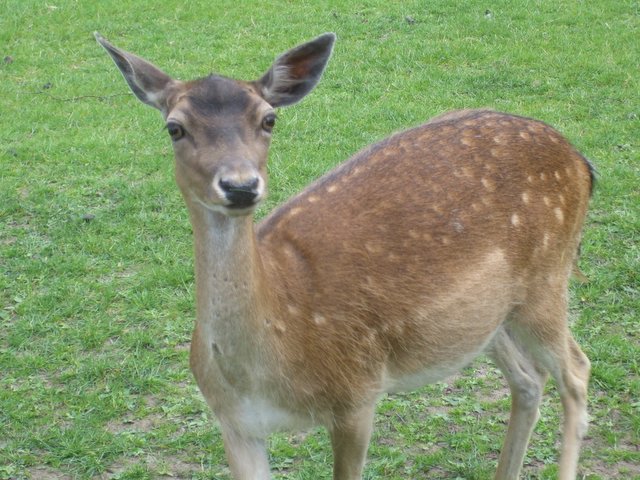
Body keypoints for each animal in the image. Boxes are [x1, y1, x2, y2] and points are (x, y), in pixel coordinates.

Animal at [96, 31, 593, 479]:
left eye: (269, 119)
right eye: (174, 127)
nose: (240, 185)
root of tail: (582, 162)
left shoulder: (357, 394)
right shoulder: (233, 423)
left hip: (548, 279)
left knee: (577, 370)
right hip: (488, 319)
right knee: (528, 380)